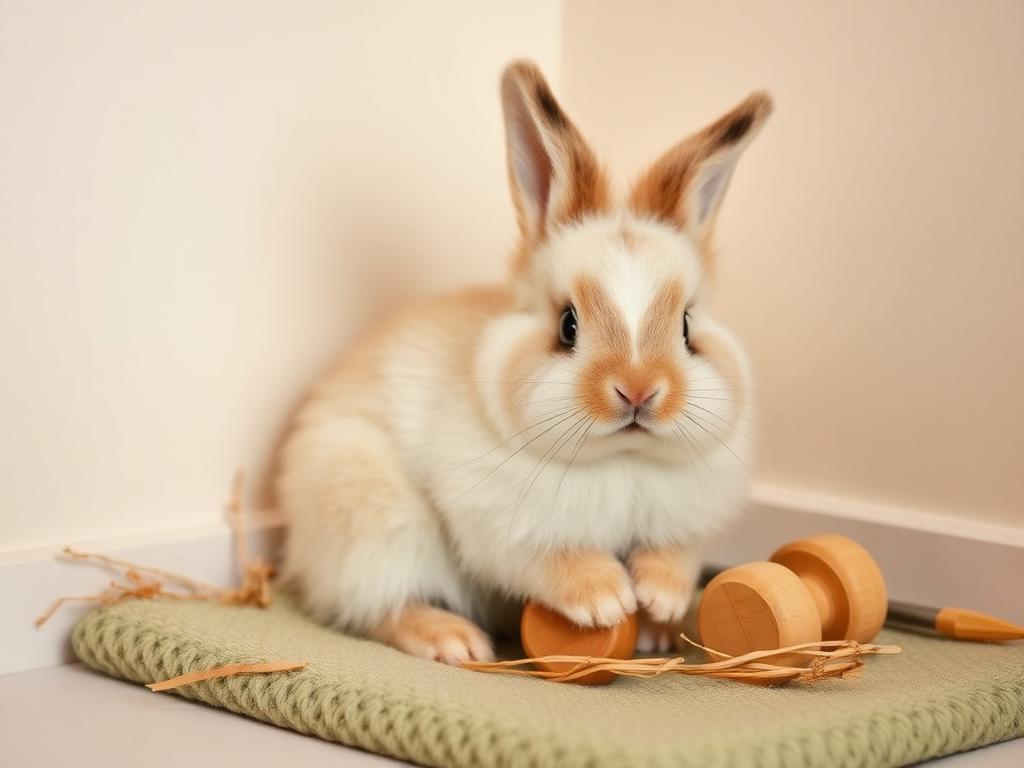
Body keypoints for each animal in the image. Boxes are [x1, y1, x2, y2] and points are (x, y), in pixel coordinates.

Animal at [276, 60, 772, 665]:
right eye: (568, 325)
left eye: (686, 327)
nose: (637, 391)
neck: (621, 459)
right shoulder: (504, 526)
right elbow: (552, 558)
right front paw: (606, 600)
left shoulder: (685, 523)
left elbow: (672, 554)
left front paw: (660, 599)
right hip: (372, 522)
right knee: (380, 606)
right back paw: (454, 642)